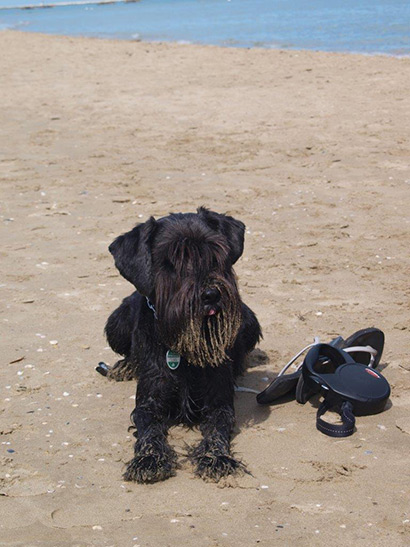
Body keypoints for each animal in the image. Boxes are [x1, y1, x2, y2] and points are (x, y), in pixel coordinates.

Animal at [99, 207, 261, 483]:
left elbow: (218, 429)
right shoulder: (148, 402)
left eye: (215, 253)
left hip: (249, 320)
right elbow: (148, 429)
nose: (210, 295)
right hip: (115, 322)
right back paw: (124, 367)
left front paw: (216, 457)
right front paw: (148, 459)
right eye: (170, 261)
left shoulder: (218, 401)